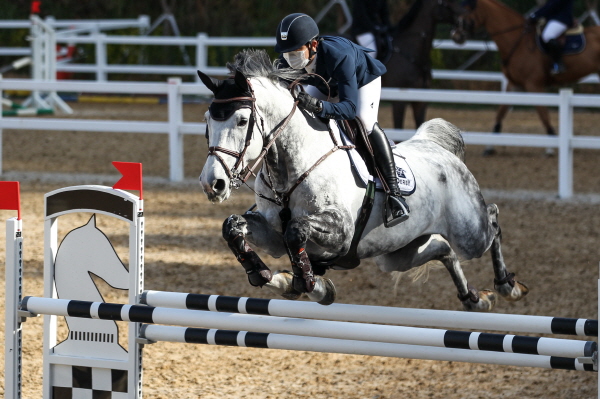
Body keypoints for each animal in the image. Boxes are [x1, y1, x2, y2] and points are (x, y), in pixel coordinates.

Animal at [454, 0, 600, 153]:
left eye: (467, 10)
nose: (455, 36)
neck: (518, 41)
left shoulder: (534, 85)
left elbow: (543, 114)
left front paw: (550, 147)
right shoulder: (514, 84)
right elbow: (501, 112)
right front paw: (490, 146)